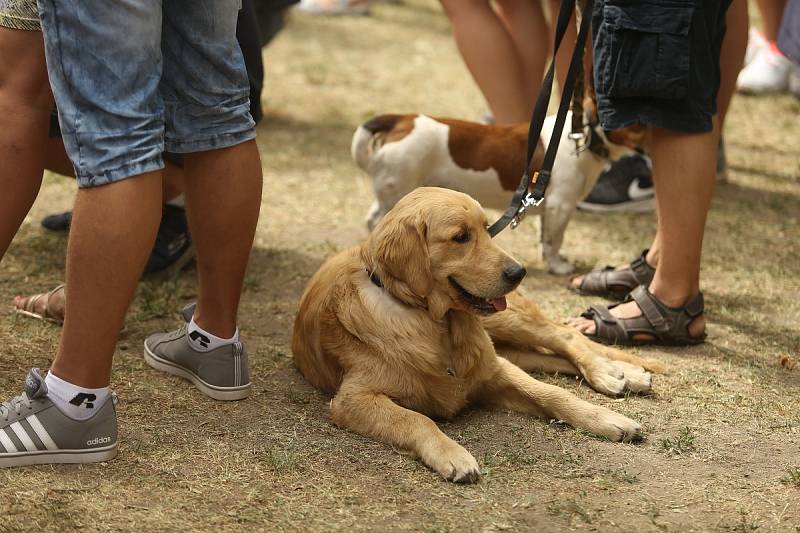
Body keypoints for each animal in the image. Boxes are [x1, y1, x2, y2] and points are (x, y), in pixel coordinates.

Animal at [294, 186, 664, 482]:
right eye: (461, 237)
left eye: (487, 230)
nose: (519, 272)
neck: (435, 322)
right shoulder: (352, 399)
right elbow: (416, 419)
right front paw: (451, 454)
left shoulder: (494, 371)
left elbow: (552, 393)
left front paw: (606, 419)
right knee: (547, 355)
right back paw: (626, 373)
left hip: (506, 323)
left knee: (564, 337)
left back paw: (611, 372)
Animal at [354, 109, 640, 274]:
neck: (583, 134)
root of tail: (401, 121)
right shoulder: (562, 206)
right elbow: (554, 240)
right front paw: (558, 266)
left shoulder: (547, 206)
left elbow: (545, 237)